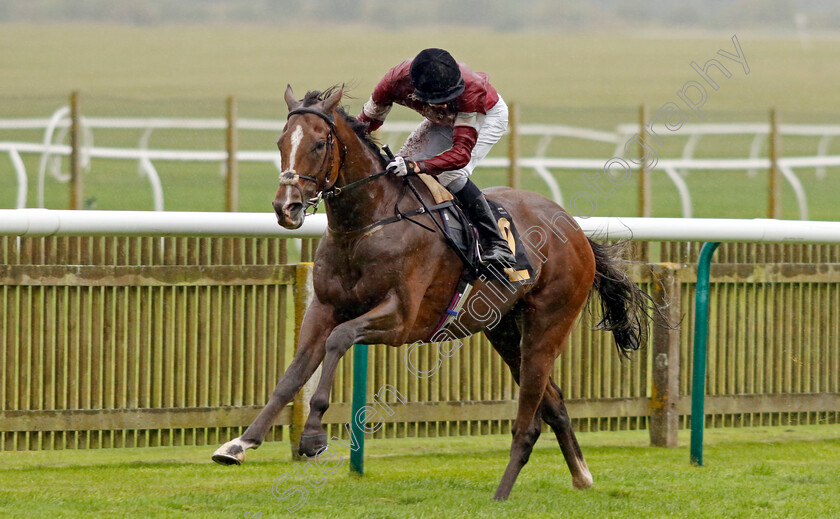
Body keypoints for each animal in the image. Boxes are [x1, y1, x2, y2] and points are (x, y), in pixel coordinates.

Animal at [212, 84, 656, 500]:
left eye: (319, 143)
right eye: (281, 142)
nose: (285, 208)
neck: (366, 223)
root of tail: (576, 230)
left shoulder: (401, 320)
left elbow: (339, 340)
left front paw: (314, 437)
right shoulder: (322, 307)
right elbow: (292, 374)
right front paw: (240, 443)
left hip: (549, 325)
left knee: (530, 418)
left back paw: (503, 492)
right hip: (504, 330)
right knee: (555, 402)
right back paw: (581, 475)